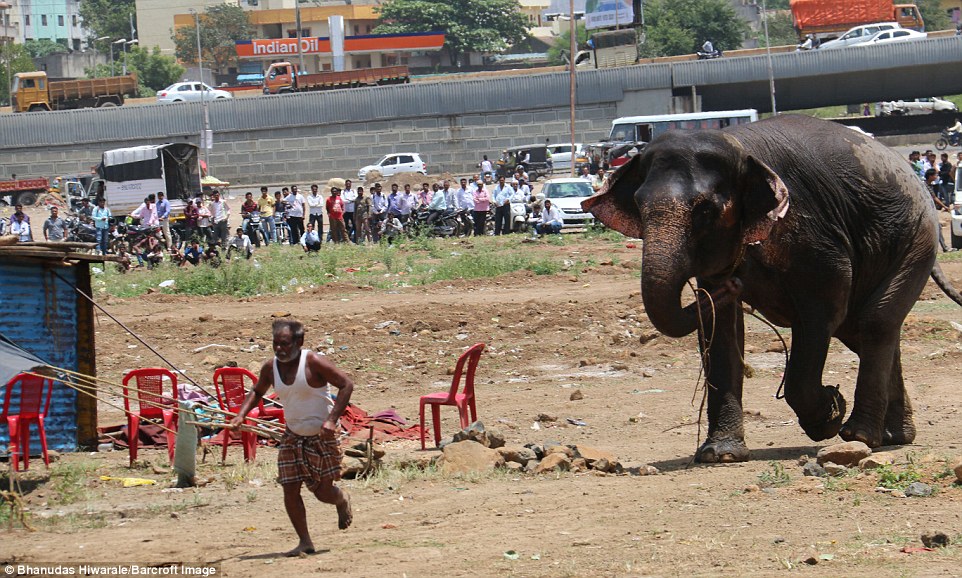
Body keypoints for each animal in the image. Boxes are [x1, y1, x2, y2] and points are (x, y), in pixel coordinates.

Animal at [580, 115, 960, 462]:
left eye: (706, 210)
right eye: (639, 205)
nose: (734, 283)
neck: (737, 146)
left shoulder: (814, 233)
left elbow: (824, 307)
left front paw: (829, 414)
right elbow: (720, 329)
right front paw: (720, 455)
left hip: (915, 240)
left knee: (873, 322)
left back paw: (860, 435)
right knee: (864, 330)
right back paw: (895, 436)